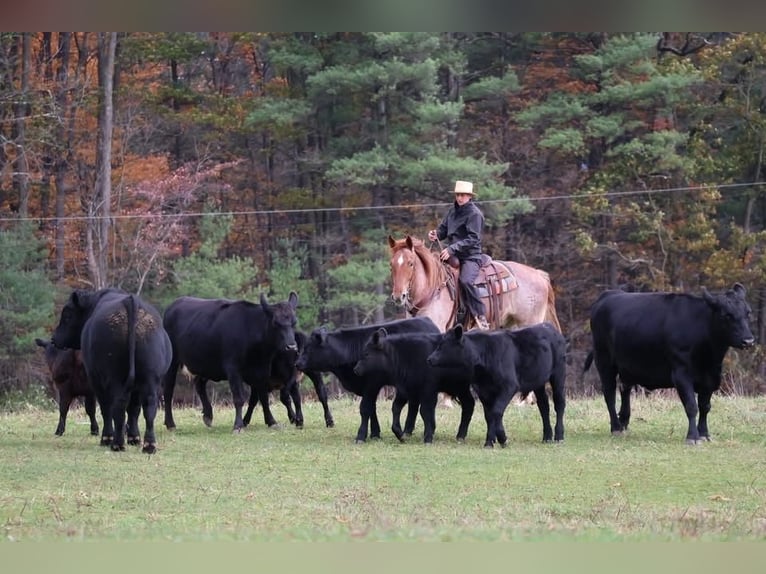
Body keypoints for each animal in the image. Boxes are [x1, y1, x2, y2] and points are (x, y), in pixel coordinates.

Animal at [388, 235, 561, 333]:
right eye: (391, 264)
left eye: (410, 263)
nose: (398, 296)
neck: (432, 289)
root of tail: (538, 274)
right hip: (512, 324)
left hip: (529, 323)